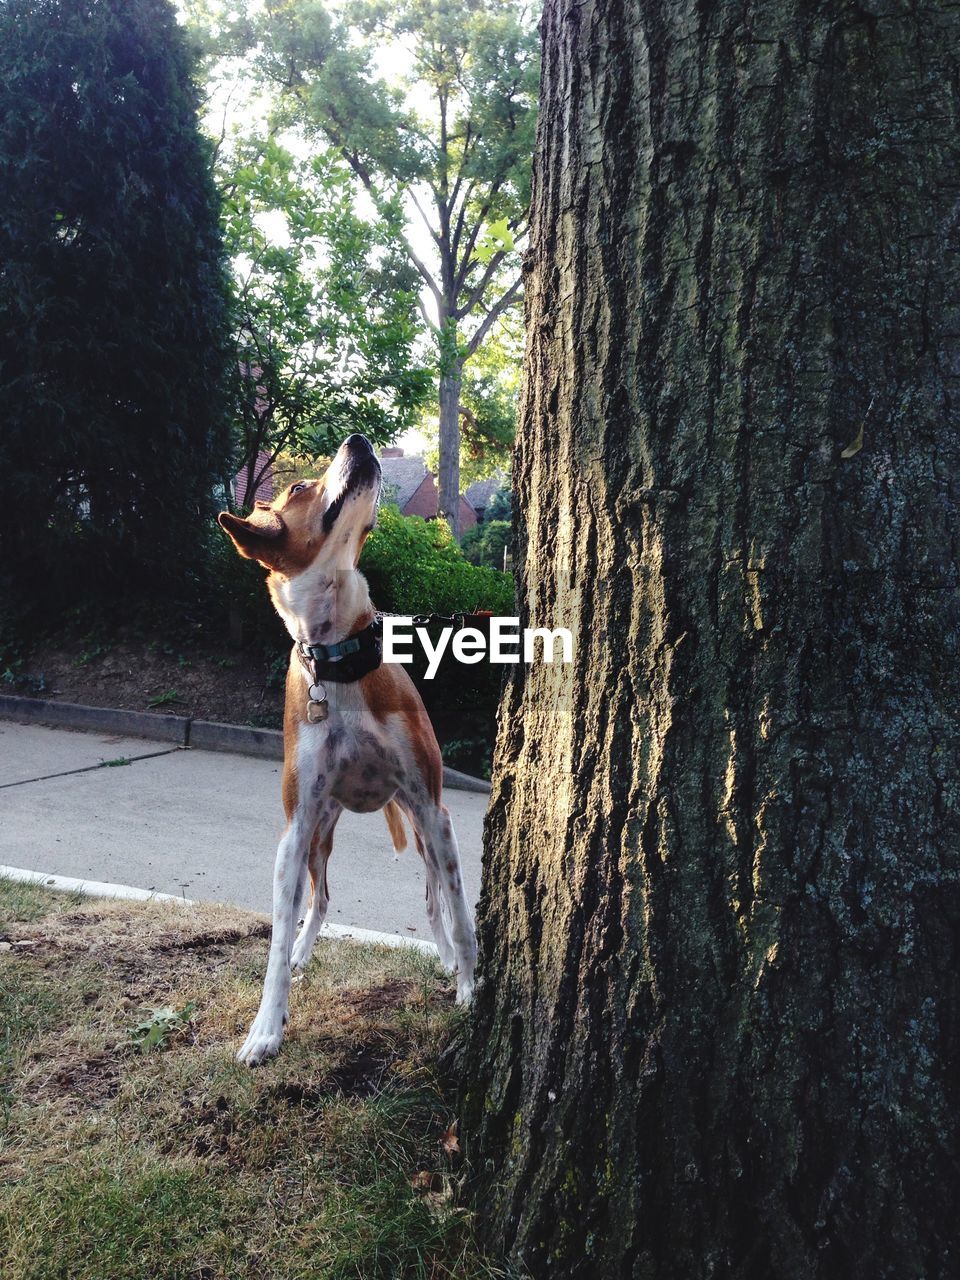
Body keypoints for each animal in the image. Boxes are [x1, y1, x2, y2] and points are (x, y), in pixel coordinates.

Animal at [215, 435, 478, 1064]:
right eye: (297, 487)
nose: (359, 442)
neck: (337, 656)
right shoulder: (295, 827)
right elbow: (279, 930)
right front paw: (266, 1029)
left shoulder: (434, 808)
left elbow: (458, 913)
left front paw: (469, 987)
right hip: (319, 834)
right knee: (322, 897)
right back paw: (303, 951)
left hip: (424, 828)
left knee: (435, 899)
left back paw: (450, 958)